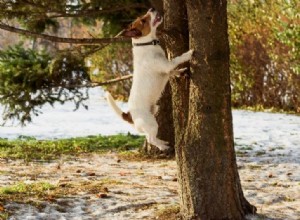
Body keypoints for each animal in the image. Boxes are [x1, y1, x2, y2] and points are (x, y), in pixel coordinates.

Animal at [106, 8, 193, 150]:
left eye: (142, 17)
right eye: (143, 20)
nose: (151, 9)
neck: (145, 44)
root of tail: (130, 115)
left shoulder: (167, 69)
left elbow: (172, 71)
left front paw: (180, 72)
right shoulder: (166, 65)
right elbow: (177, 59)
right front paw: (189, 53)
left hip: (153, 116)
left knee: (149, 137)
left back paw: (163, 142)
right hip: (151, 124)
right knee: (151, 139)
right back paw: (163, 147)